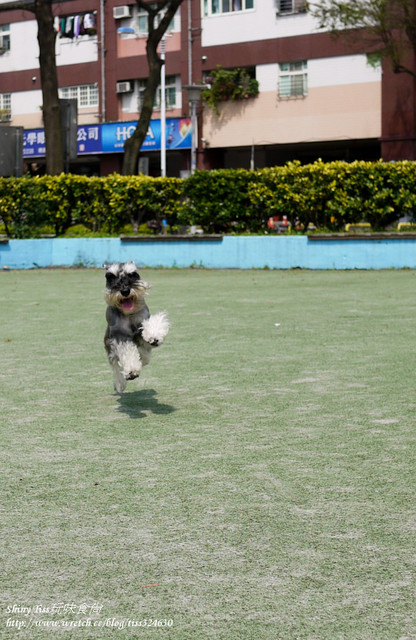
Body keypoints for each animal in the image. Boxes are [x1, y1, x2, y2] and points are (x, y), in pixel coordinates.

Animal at [105, 262, 170, 392]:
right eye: (111, 277)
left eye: (132, 274)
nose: (125, 291)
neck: (129, 314)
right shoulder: (120, 336)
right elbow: (127, 352)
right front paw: (131, 370)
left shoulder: (144, 321)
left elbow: (151, 324)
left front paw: (154, 335)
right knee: (115, 365)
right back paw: (120, 383)